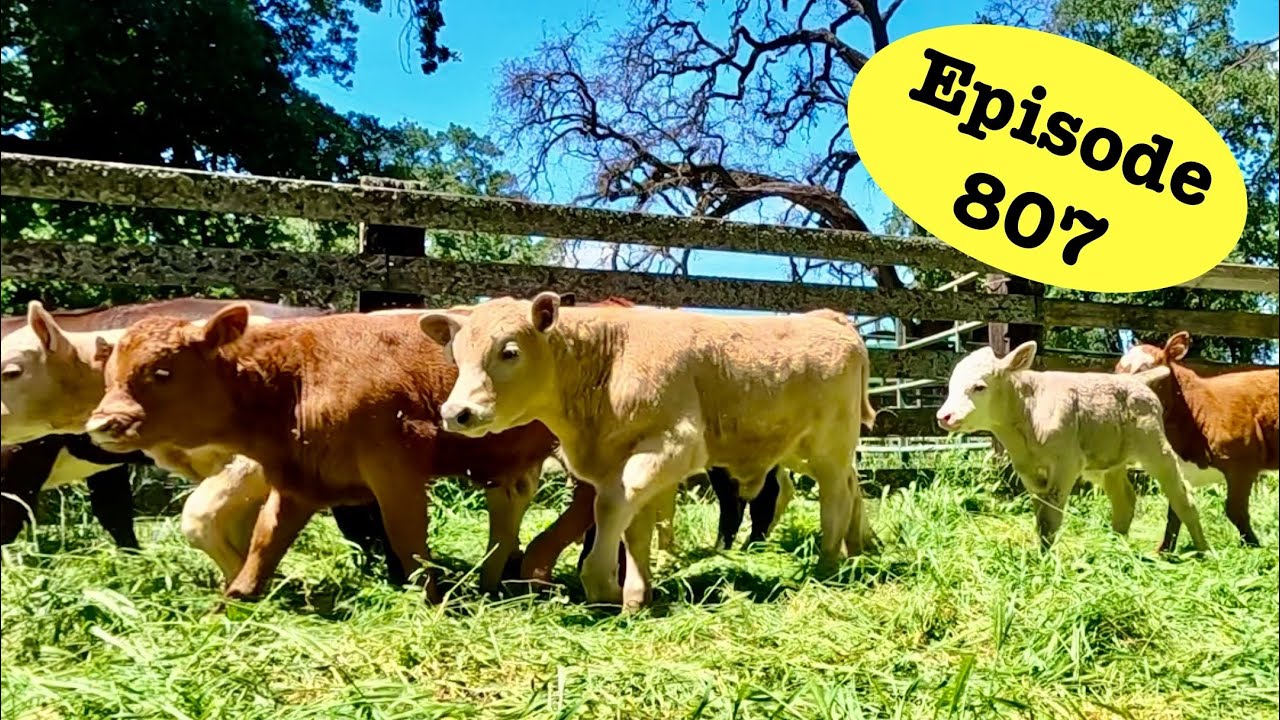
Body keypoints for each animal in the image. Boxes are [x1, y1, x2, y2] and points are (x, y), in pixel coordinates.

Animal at [85, 305, 560, 602]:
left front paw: (431, 601)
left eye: (163, 371)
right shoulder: (297, 483)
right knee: (509, 508)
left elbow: (408, 541)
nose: (100, 424)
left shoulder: (398, 471)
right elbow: (262, 545)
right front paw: (231, 603)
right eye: (108, 376)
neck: (297, 377)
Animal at [420, 292, 877, 611]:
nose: (456, 413)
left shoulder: (673, 445)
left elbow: (611, 508)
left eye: (509, 351)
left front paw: (601, 584)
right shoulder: (620, 461)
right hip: (800, 448)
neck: (609, 360)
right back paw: (862, 547)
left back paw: (827, 566)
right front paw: (636, 597)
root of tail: (828, 319)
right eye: (456, 355)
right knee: (853, 487)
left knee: (836, 496)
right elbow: (634, 524)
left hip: (829, 445)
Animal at [937, 341, 1208, 552]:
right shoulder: (1027, 470)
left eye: (979, 387)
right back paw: (1115, 551)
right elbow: (1041, 515)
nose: (944, 416)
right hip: (1109, 462)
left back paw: (1204, 551)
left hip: (1155, 446)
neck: (1027, 412)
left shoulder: (1065, 464)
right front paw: (1042, 555)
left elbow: (1051, 516)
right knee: (1124, 501)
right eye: (951, 386)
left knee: (1183, 497)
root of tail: (1136, 380)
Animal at [1115, 332, 1279, 550]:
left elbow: (1235, 511)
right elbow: (1177, 509)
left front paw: (1254, 546)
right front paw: (1164, 551)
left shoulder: (1242, 467)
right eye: (1116, 370)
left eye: (1146, 371)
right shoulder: (1179, 469)